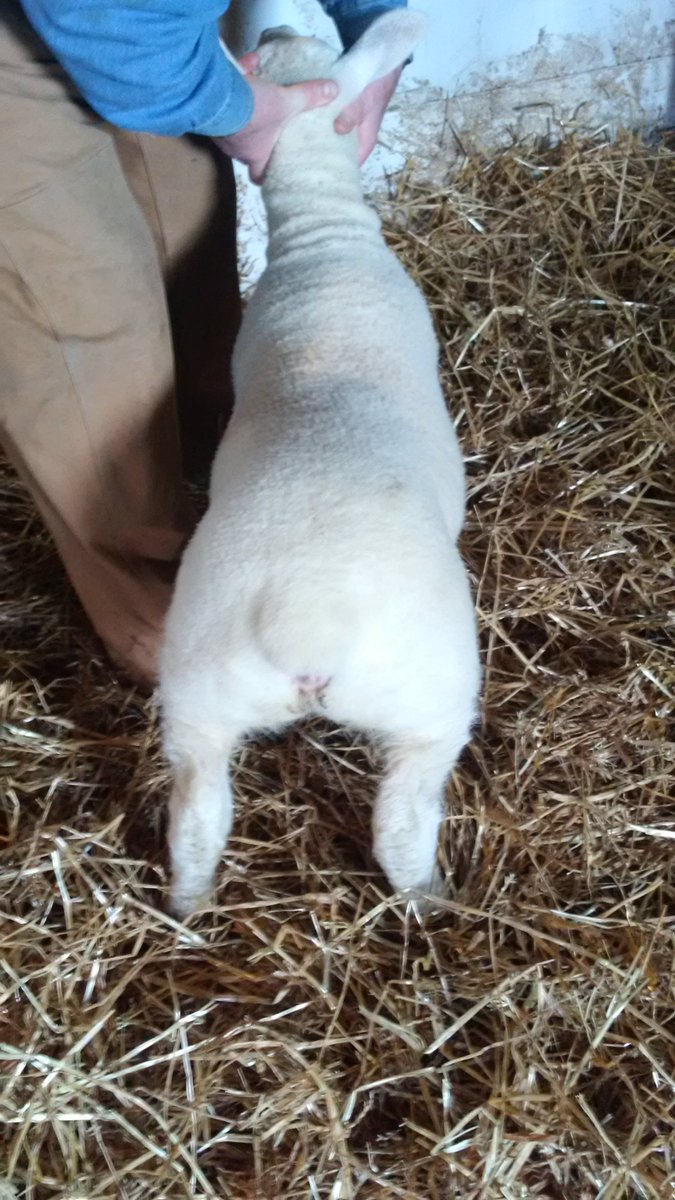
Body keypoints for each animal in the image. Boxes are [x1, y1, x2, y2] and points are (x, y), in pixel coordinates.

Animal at [159, 11, 481, 919]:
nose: (269, 21)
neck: (319, 241)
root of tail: (308, 614)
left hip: (197, 694)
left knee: (197, 813)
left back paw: (187, 907)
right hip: (430, 698)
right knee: (402, 822)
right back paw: (430, 900)